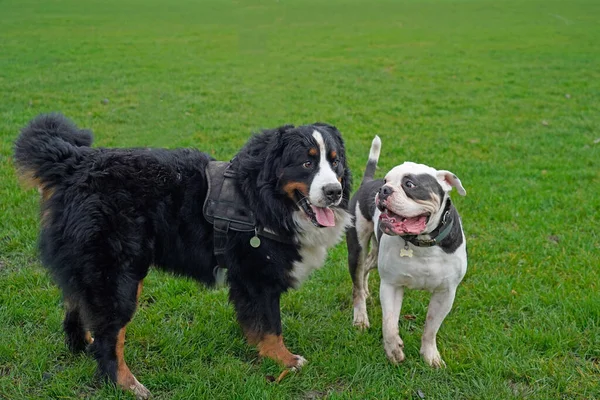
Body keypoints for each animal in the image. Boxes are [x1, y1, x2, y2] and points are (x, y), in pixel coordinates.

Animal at [12, 114, 352, 398]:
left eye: (335, 163)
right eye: (306, 164)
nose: (334, 192)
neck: (261, 197)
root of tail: (75, 162)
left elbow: (256, 323)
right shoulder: (258, 277)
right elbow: (271, 325)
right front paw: (285, 360)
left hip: (88, 269)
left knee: (75, 309)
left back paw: (83, 347)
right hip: (118, 277)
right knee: (111, 336)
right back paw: (126, 383)